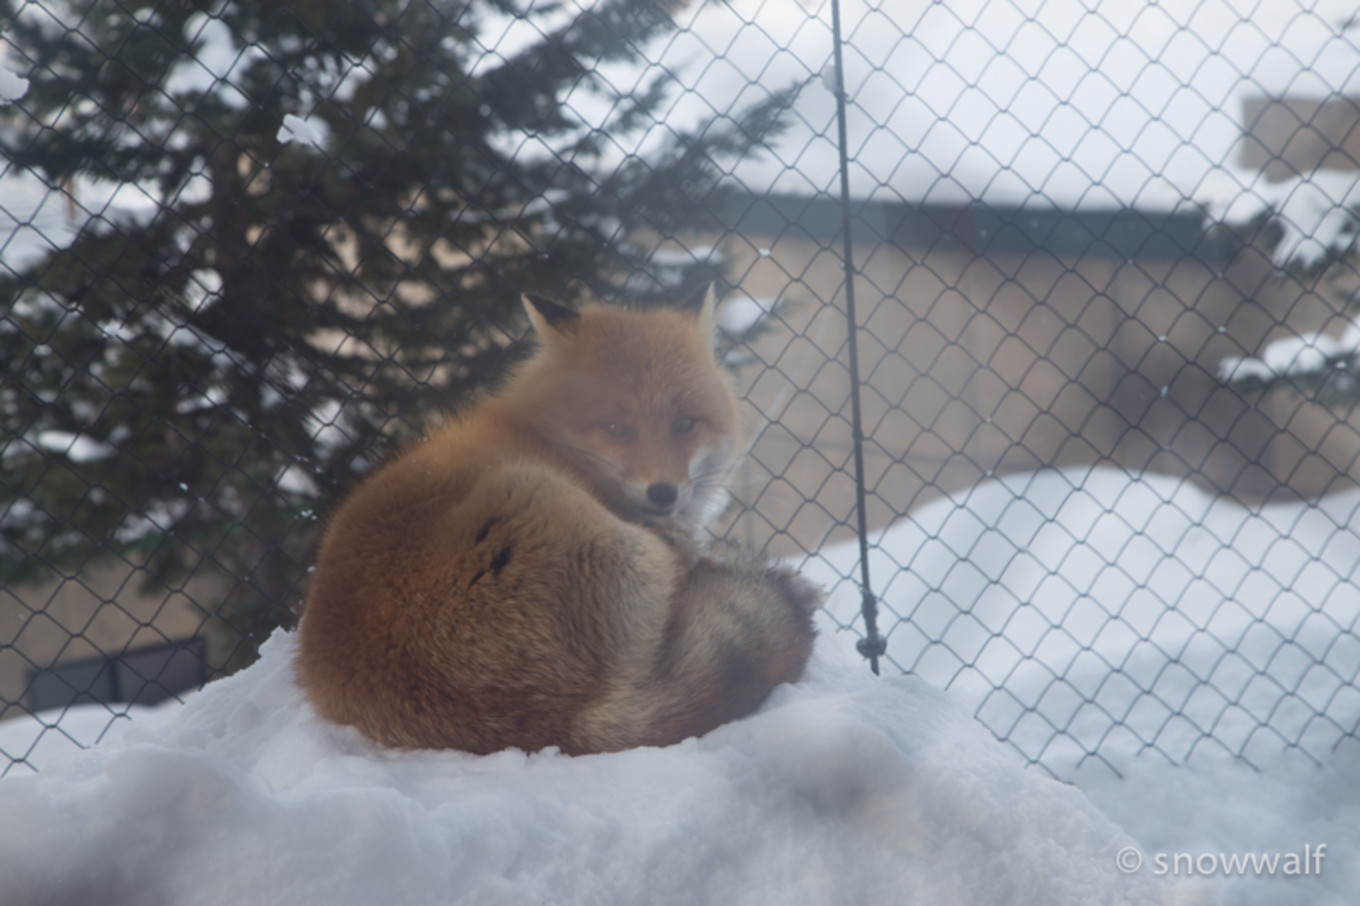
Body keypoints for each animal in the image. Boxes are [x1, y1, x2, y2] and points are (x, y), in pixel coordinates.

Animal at [293, 285, 816, 750]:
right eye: (616, 428)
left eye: (684, 424)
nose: (664, 493)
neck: (548, 437)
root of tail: (555, 723)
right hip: (573, 517)